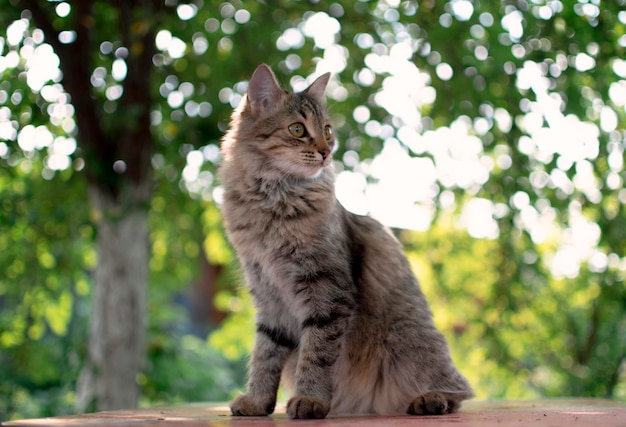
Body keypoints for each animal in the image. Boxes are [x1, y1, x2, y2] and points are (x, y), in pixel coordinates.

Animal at [217, 64, 470, 422]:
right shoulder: (268, 294)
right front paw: (257, 402)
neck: (272, 201)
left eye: (327, 129)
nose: (326, 151)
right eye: (297, 129)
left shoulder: (328, 292)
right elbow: (265, 355)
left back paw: (430, 400)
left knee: (459, 390)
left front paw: (310, 400)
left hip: (408, 338)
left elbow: (316, 352)